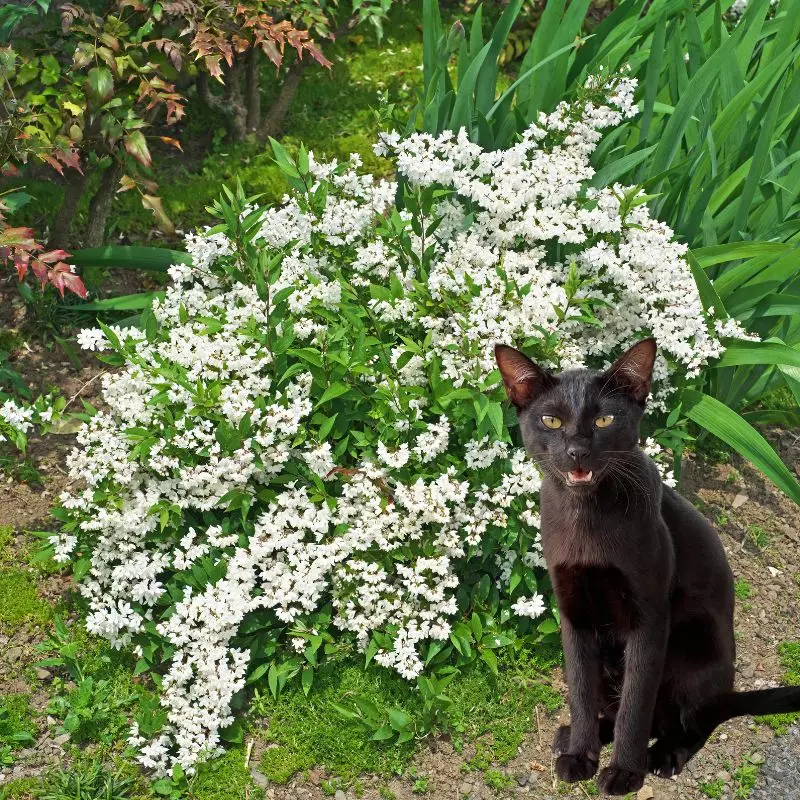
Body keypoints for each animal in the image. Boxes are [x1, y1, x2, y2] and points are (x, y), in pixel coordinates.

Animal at [494, 336, 800, 792]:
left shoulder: (650, 617)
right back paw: (577, 736)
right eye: (551, 420)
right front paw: (580, 755)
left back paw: (664, 754)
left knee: (692, 721)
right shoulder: (573, 614)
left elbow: (636, 704)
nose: (577, 451)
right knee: (615, 705)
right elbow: (580, 691)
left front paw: (624, 772)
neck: (586, 518)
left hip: (696, 641)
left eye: (604, 420)